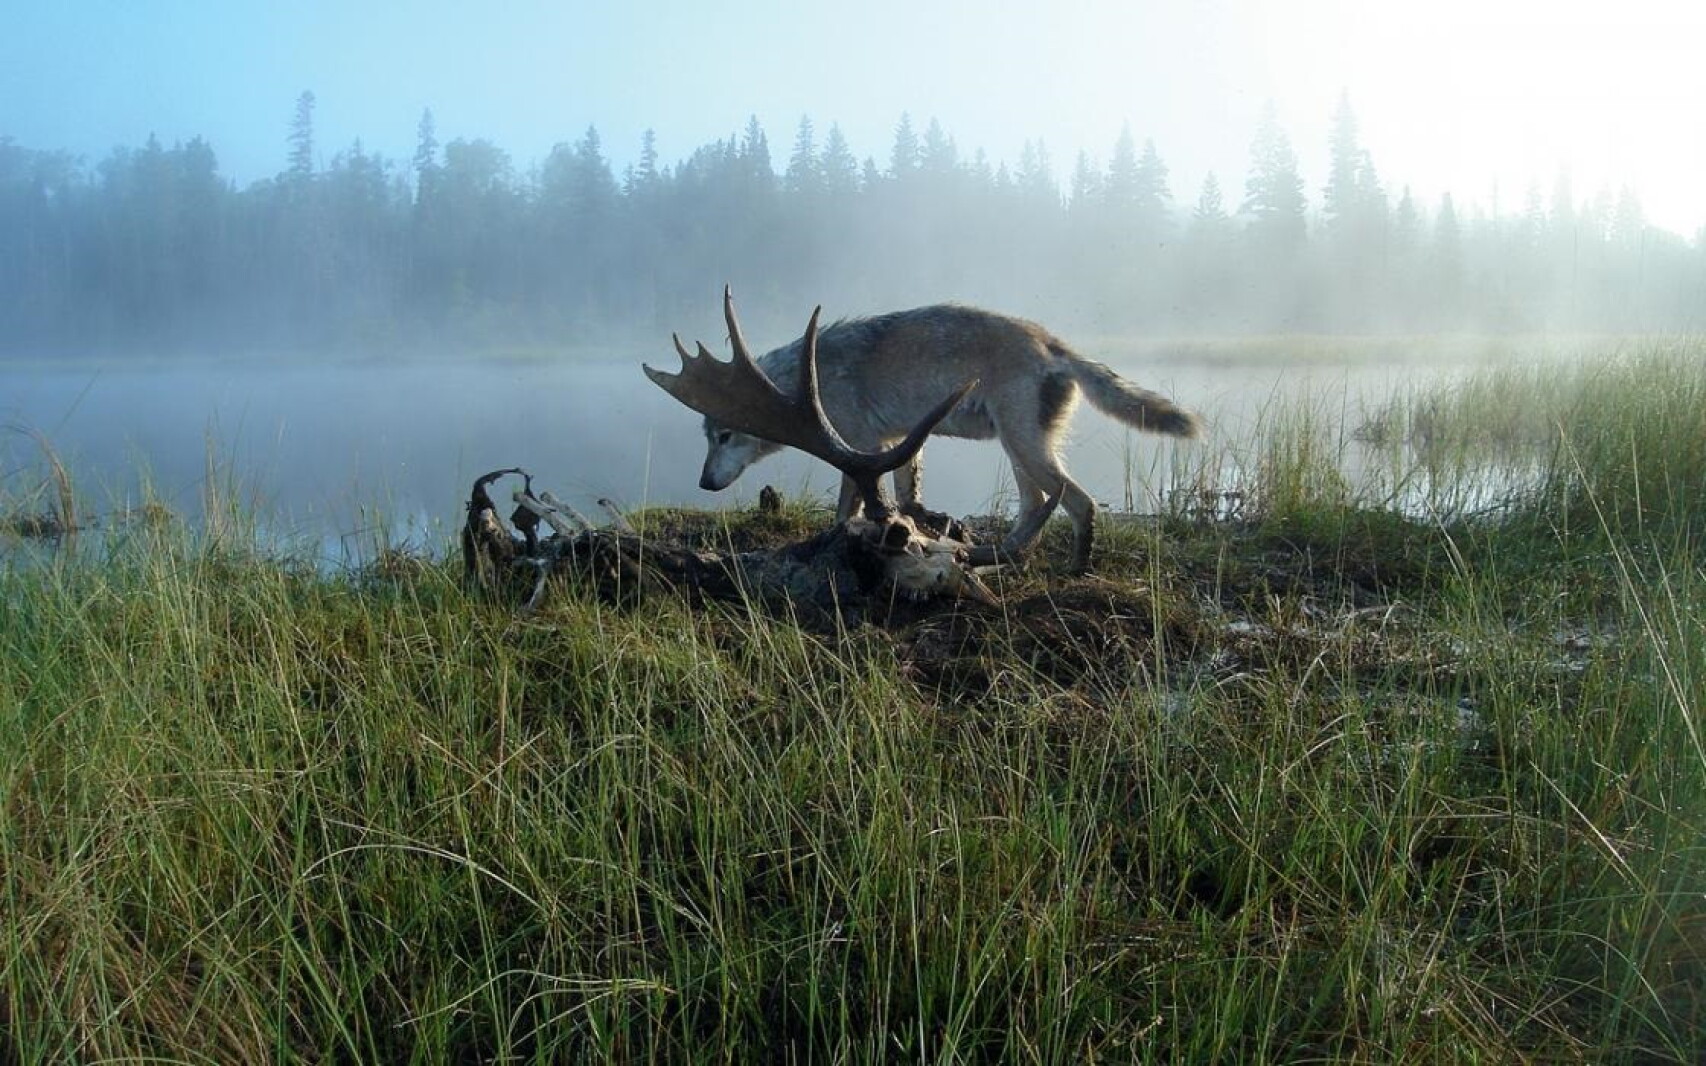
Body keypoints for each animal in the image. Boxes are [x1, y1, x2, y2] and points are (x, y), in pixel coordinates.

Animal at [691, 303, 1200, 571]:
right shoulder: (894, 442)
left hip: (1025, 449)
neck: (798, 385)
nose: (703, 483)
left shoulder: (858, 447)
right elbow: (905, 496)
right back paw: (1002, 556)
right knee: (1037, 506)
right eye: (708, 437)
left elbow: (846, 506)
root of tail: (1055, 345)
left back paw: (1073, 571)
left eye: (725, 437)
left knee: (1080, 504)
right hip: (1018, 451)